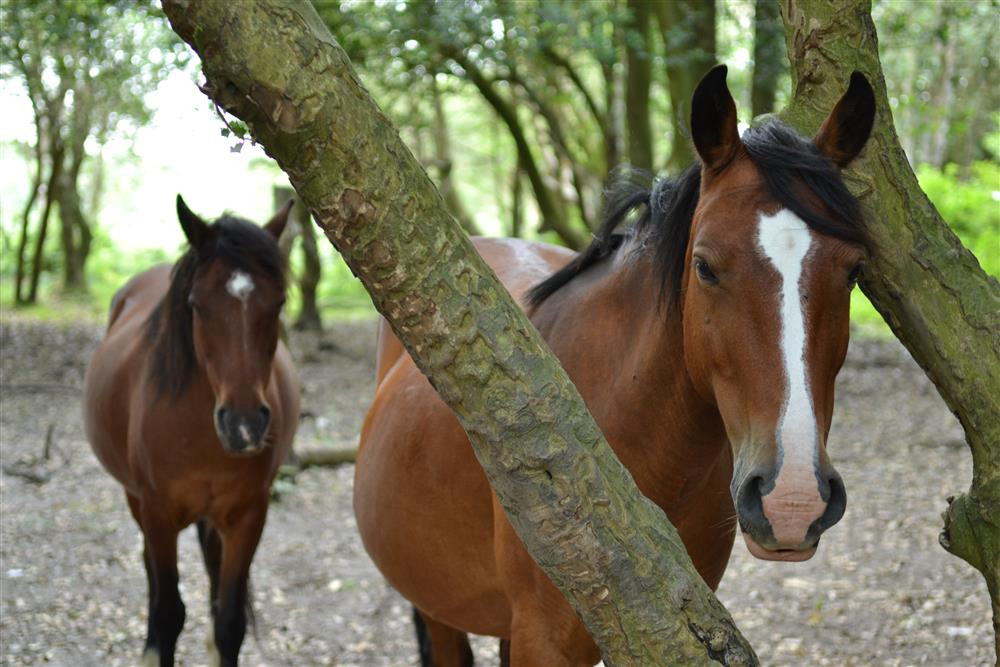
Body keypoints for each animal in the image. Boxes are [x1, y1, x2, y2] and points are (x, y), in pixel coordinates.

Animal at [83, 196, 300, 667]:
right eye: (198, 305)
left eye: (277, 304)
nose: (244, 426)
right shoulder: (157, 513)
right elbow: (168, 612)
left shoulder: (248, 516)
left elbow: (230, 621)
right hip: (136, 500)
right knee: (150, 571)